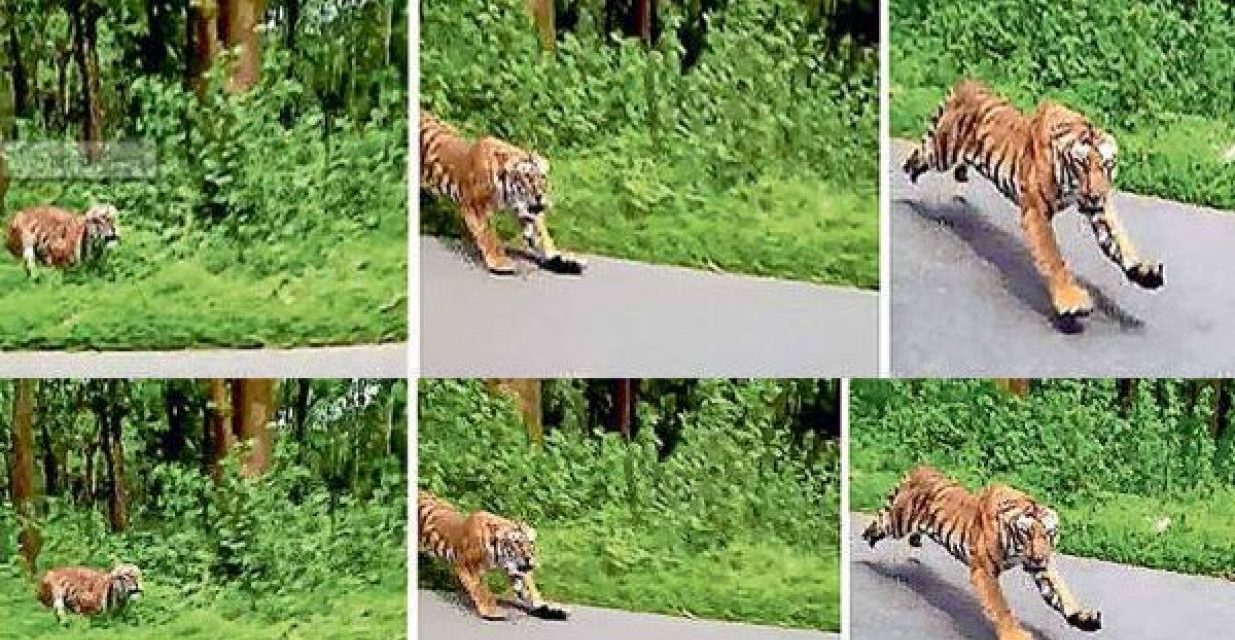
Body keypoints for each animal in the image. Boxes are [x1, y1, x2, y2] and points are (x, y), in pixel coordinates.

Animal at [414, 491, 568, 622]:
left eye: (531, 543)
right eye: (517, 543)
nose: (529, 558)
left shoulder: (516, 570)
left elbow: (529, 591)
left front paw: (552, 609)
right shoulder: (468, 566)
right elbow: (481, 589)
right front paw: (492, 611)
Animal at [419, 112, 582, 275]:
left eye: (542, 177)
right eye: (527, 177)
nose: (540, 196)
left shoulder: (529, 210)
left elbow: (542, 235)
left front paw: (563, 260)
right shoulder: (476, 207)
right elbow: (489, 235)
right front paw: (500, 262)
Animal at [859, 467, 1101, 640]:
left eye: (1049, 534)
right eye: (1027, 534)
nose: (1039, 556)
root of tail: (918, 468)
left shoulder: (1040, 568)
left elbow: (1062, 592)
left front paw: (1083, 618)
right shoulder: (984, 571)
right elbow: (1001, 606)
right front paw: (1015, 635)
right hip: (896, 522)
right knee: (878, 524)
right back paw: (866, 548)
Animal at [904, 80, 1160, 326]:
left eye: (1107, 165)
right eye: (1082, 165)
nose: (1097, 194)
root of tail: (966, 83)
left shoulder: (1098, 208)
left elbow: (1120, 240)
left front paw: (1144, 272)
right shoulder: (1036, 211)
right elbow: (1053, 257)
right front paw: (1071, 301)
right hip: (941, 152)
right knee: (921, 154)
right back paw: (908, 181)